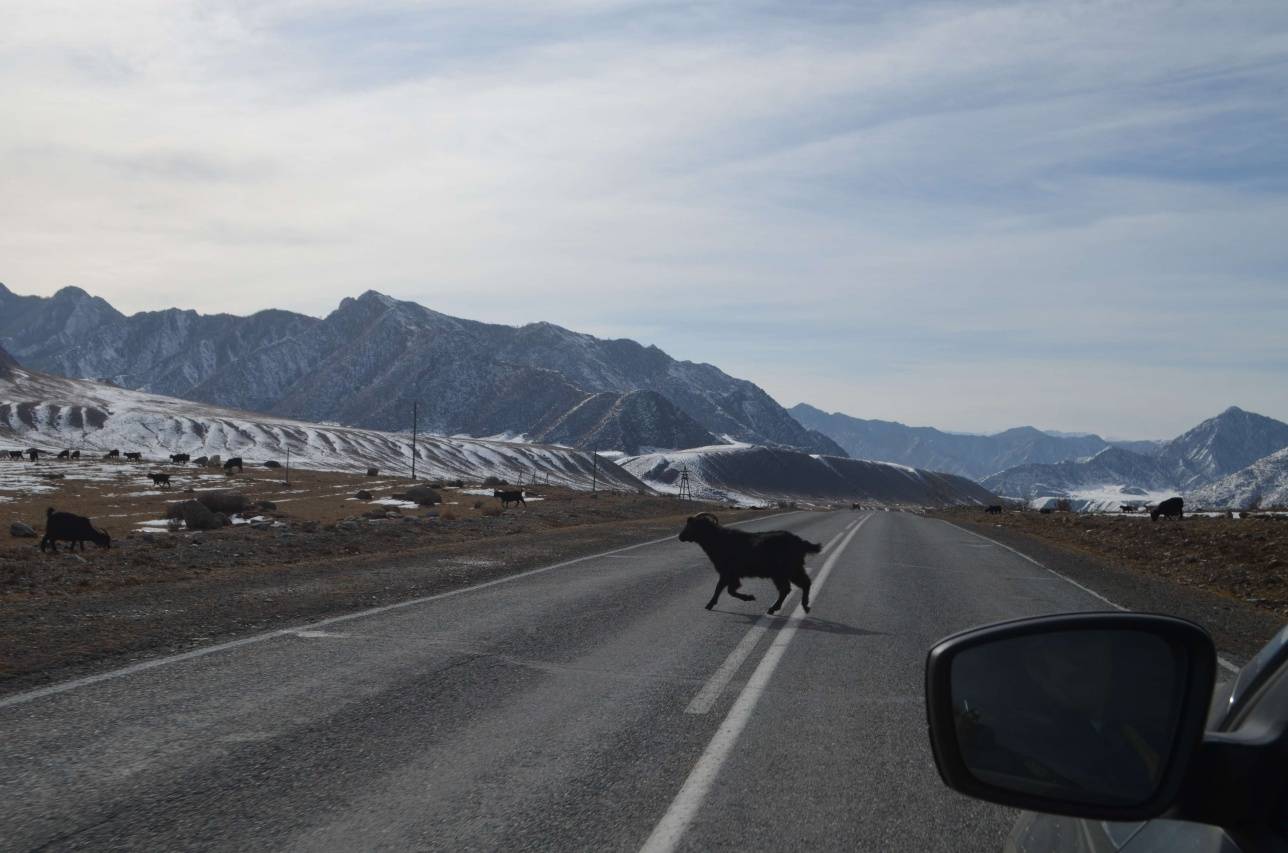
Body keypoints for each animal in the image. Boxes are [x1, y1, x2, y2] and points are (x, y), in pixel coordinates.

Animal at [680, 515, 819, 615]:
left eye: (692, 526)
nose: (680, 537)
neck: (719, 540)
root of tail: (800, 543)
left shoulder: (727, 573)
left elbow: (721, 588)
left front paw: (710, 604)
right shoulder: (732, 575)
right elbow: (730, 590)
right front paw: (748, 597)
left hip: (785, 571)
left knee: (793, 587)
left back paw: (783, 607)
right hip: (790, 571)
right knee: (798, 585)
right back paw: (796, 607)